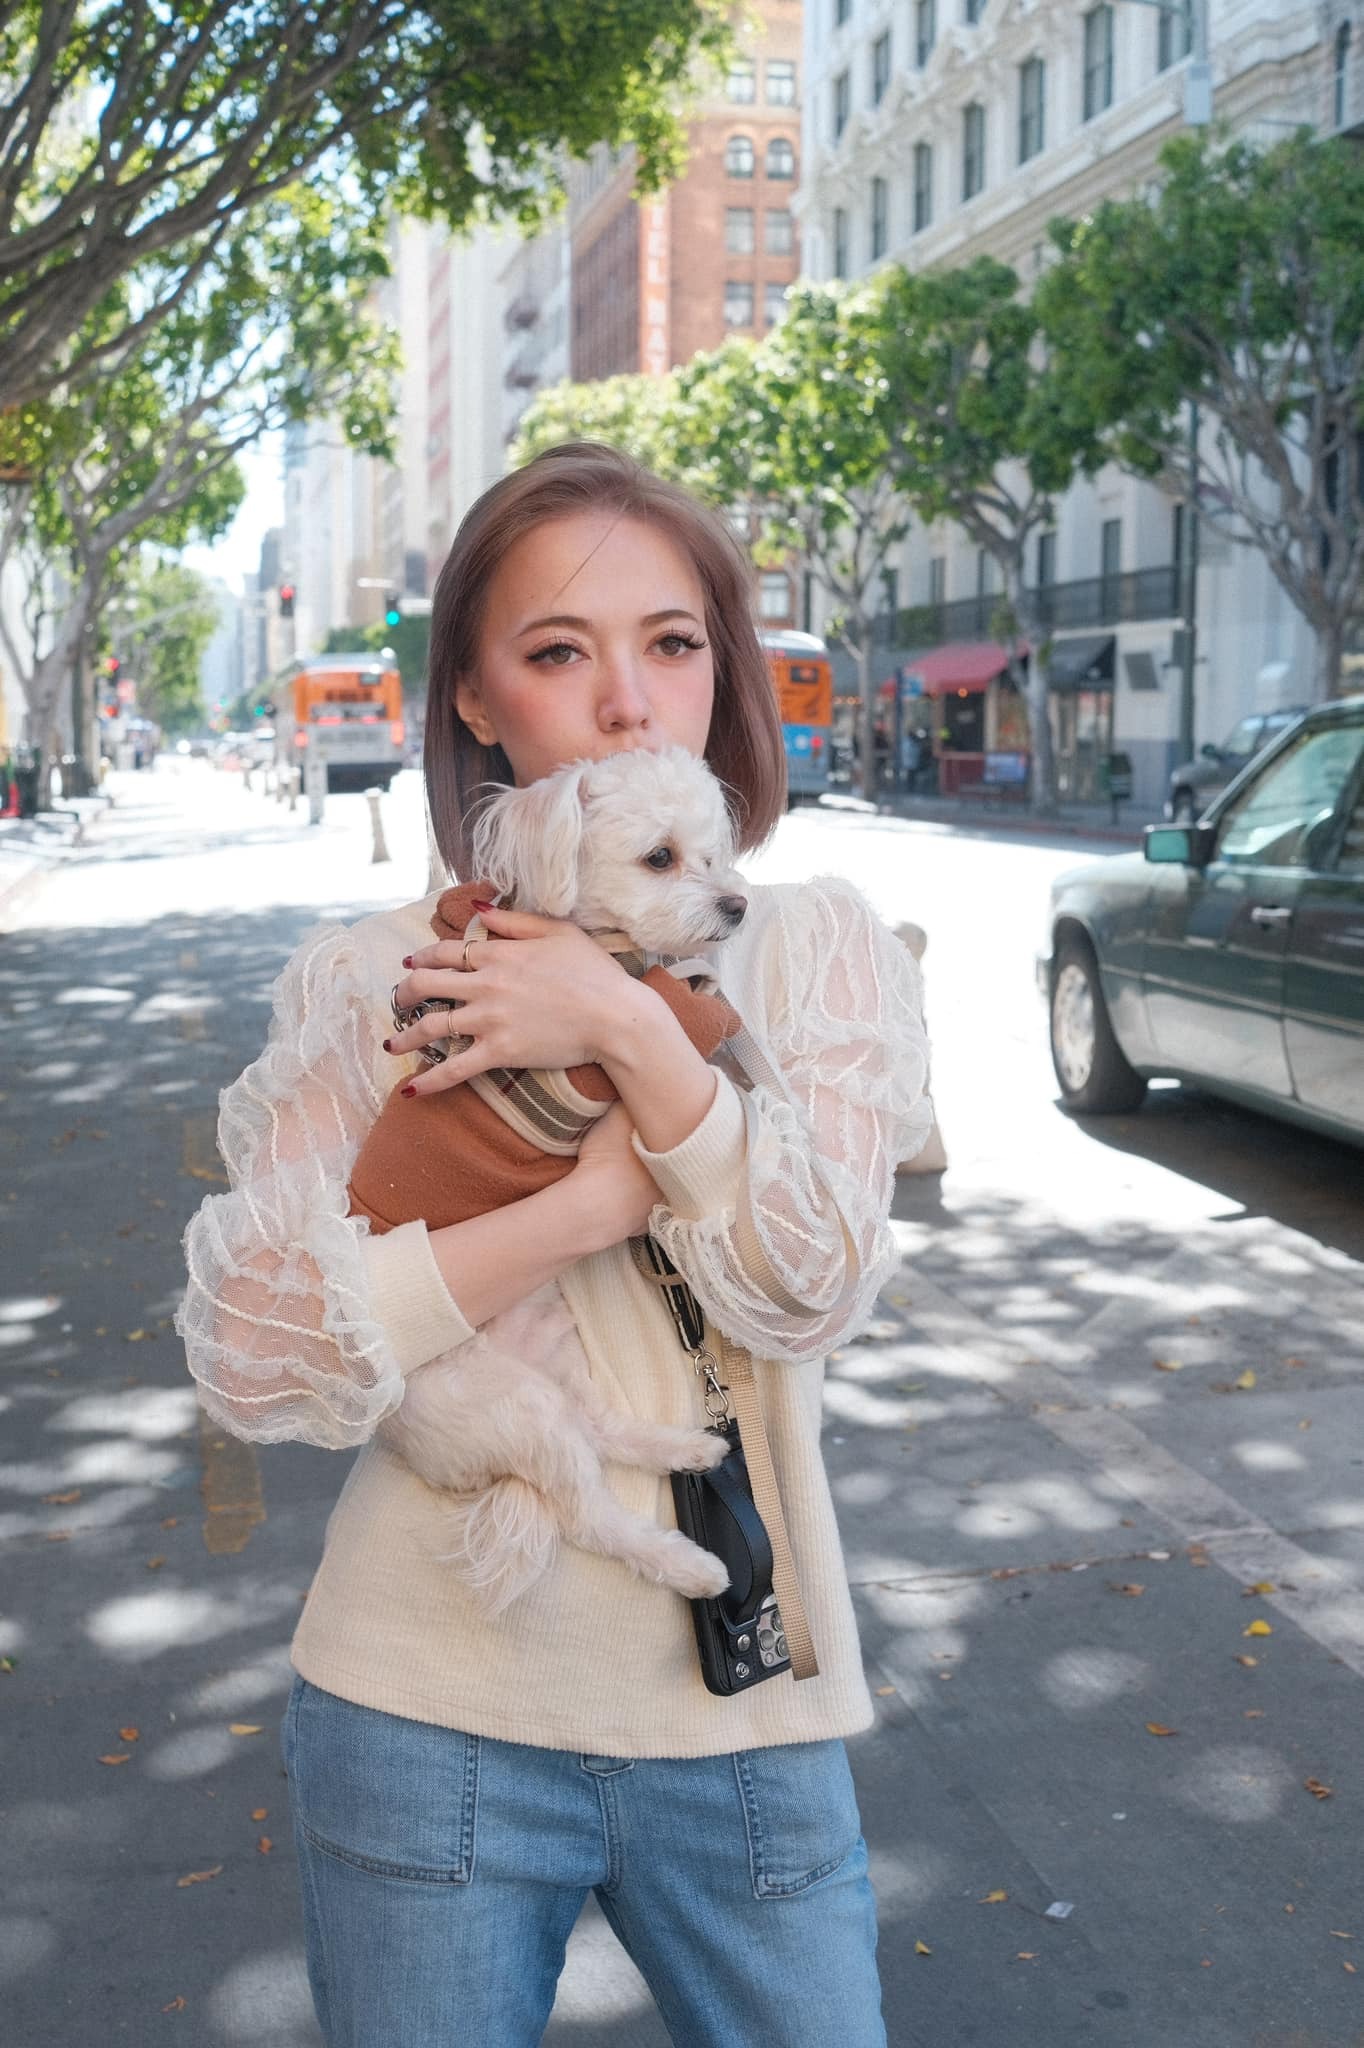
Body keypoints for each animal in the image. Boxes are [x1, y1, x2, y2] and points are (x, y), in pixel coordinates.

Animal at [355, 747, 752, 1615]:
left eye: (714, 854)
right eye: (661, 858)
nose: (738, 906)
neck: (595, 944)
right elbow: (682, 1008)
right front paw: (705, 1000)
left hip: (559, 1360)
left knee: (600, 1429)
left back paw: (684, 1448)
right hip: (513, 1405)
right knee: (589, 1515)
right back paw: (688, 1565)